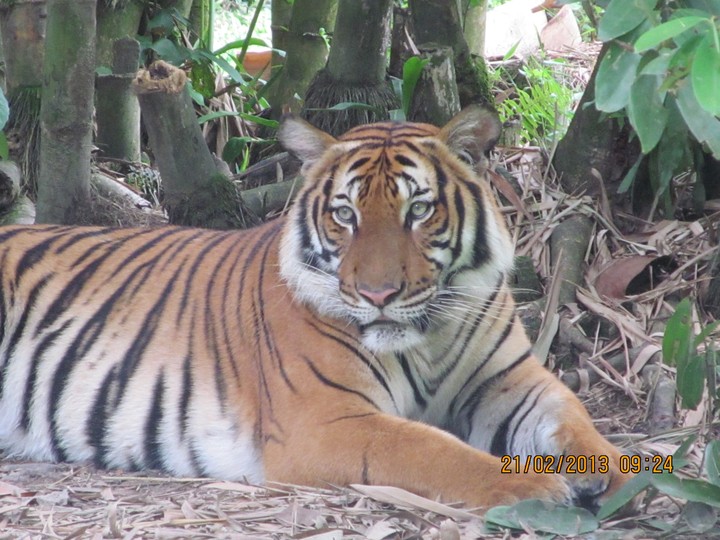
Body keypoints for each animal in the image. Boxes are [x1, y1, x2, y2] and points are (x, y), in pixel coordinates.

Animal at [0, 106, 631, 511]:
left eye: (419, 210)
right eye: (345, 214)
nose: (378, 294)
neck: (427, 337)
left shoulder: (512, 384)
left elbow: (577, 423)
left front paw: (624, 480)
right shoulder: (329, 422)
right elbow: (432, 449)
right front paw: (537, 490)